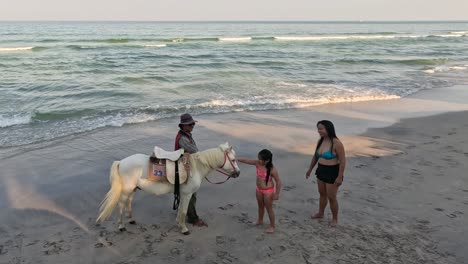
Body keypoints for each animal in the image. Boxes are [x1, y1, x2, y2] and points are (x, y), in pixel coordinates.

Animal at [96, 142, 239, 235]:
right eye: (233, 159)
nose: (238, 173)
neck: (195, 167)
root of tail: (121, 162)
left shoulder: (182, 194)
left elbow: (180, 209)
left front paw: (179, 224)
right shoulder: (187, 194)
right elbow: (184, 211)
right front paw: (184, 229)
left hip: (133, 189)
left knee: (128, 203)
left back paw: (131, 220)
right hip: (126, 190)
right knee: (121, 204)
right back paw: (121, 226)